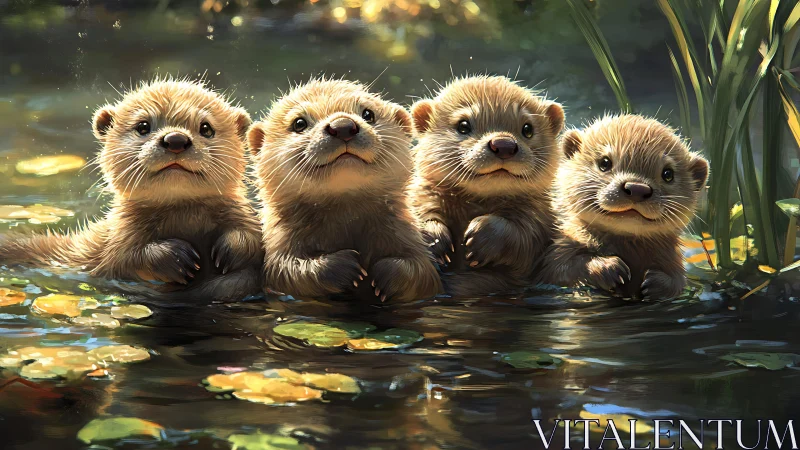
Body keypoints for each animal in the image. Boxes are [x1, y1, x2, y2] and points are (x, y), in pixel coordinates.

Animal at [0, 79, 263, 296]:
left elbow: (253, 238)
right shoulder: (117, 239)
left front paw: (231, 248)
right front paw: (176, 258)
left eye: (206, 128)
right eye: (143, 126)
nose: (176, 139)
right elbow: (125, 258)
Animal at [248, 78, 441, 303]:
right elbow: (286, 272)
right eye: (299, 123)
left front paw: (385, 272)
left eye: (368, 113)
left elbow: (423, 275)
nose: (342, 126)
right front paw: (343, 267)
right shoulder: (279, 243)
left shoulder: (408, 235)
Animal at [409, 75, 565, 296]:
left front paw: (483, 237)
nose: (504, 144)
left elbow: (524, 236)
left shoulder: (539, 220)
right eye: (463, 125)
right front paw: (434, 238)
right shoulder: (421, 195)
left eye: (527, 129)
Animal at [540, 114, 709, 299]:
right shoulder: (561, 248)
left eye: (668, 174)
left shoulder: (675, 264)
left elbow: (678, 282)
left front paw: (657, 283)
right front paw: (608, 268)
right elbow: (562, 268)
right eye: (604, 162)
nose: (637, 188)